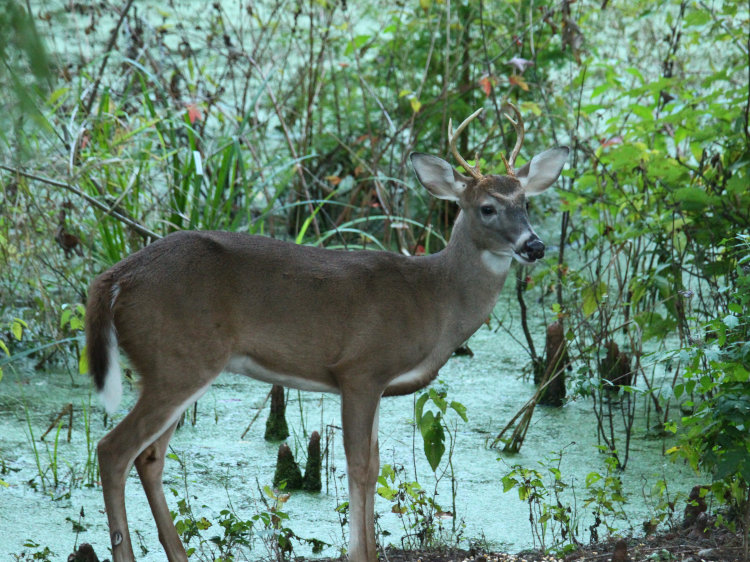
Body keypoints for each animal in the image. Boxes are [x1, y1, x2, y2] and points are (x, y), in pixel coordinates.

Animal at [85, 105, 568, 562]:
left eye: (526, 203)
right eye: (487, 207)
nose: (534, 246)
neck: (434, 298)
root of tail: (113, 278)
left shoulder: (376, 382)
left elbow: (373, 463)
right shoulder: (360, 369)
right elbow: (360, 466)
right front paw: (362, 553)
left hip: (177, 365)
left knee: (149, 457)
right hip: (175, 360)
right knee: (113, 450)